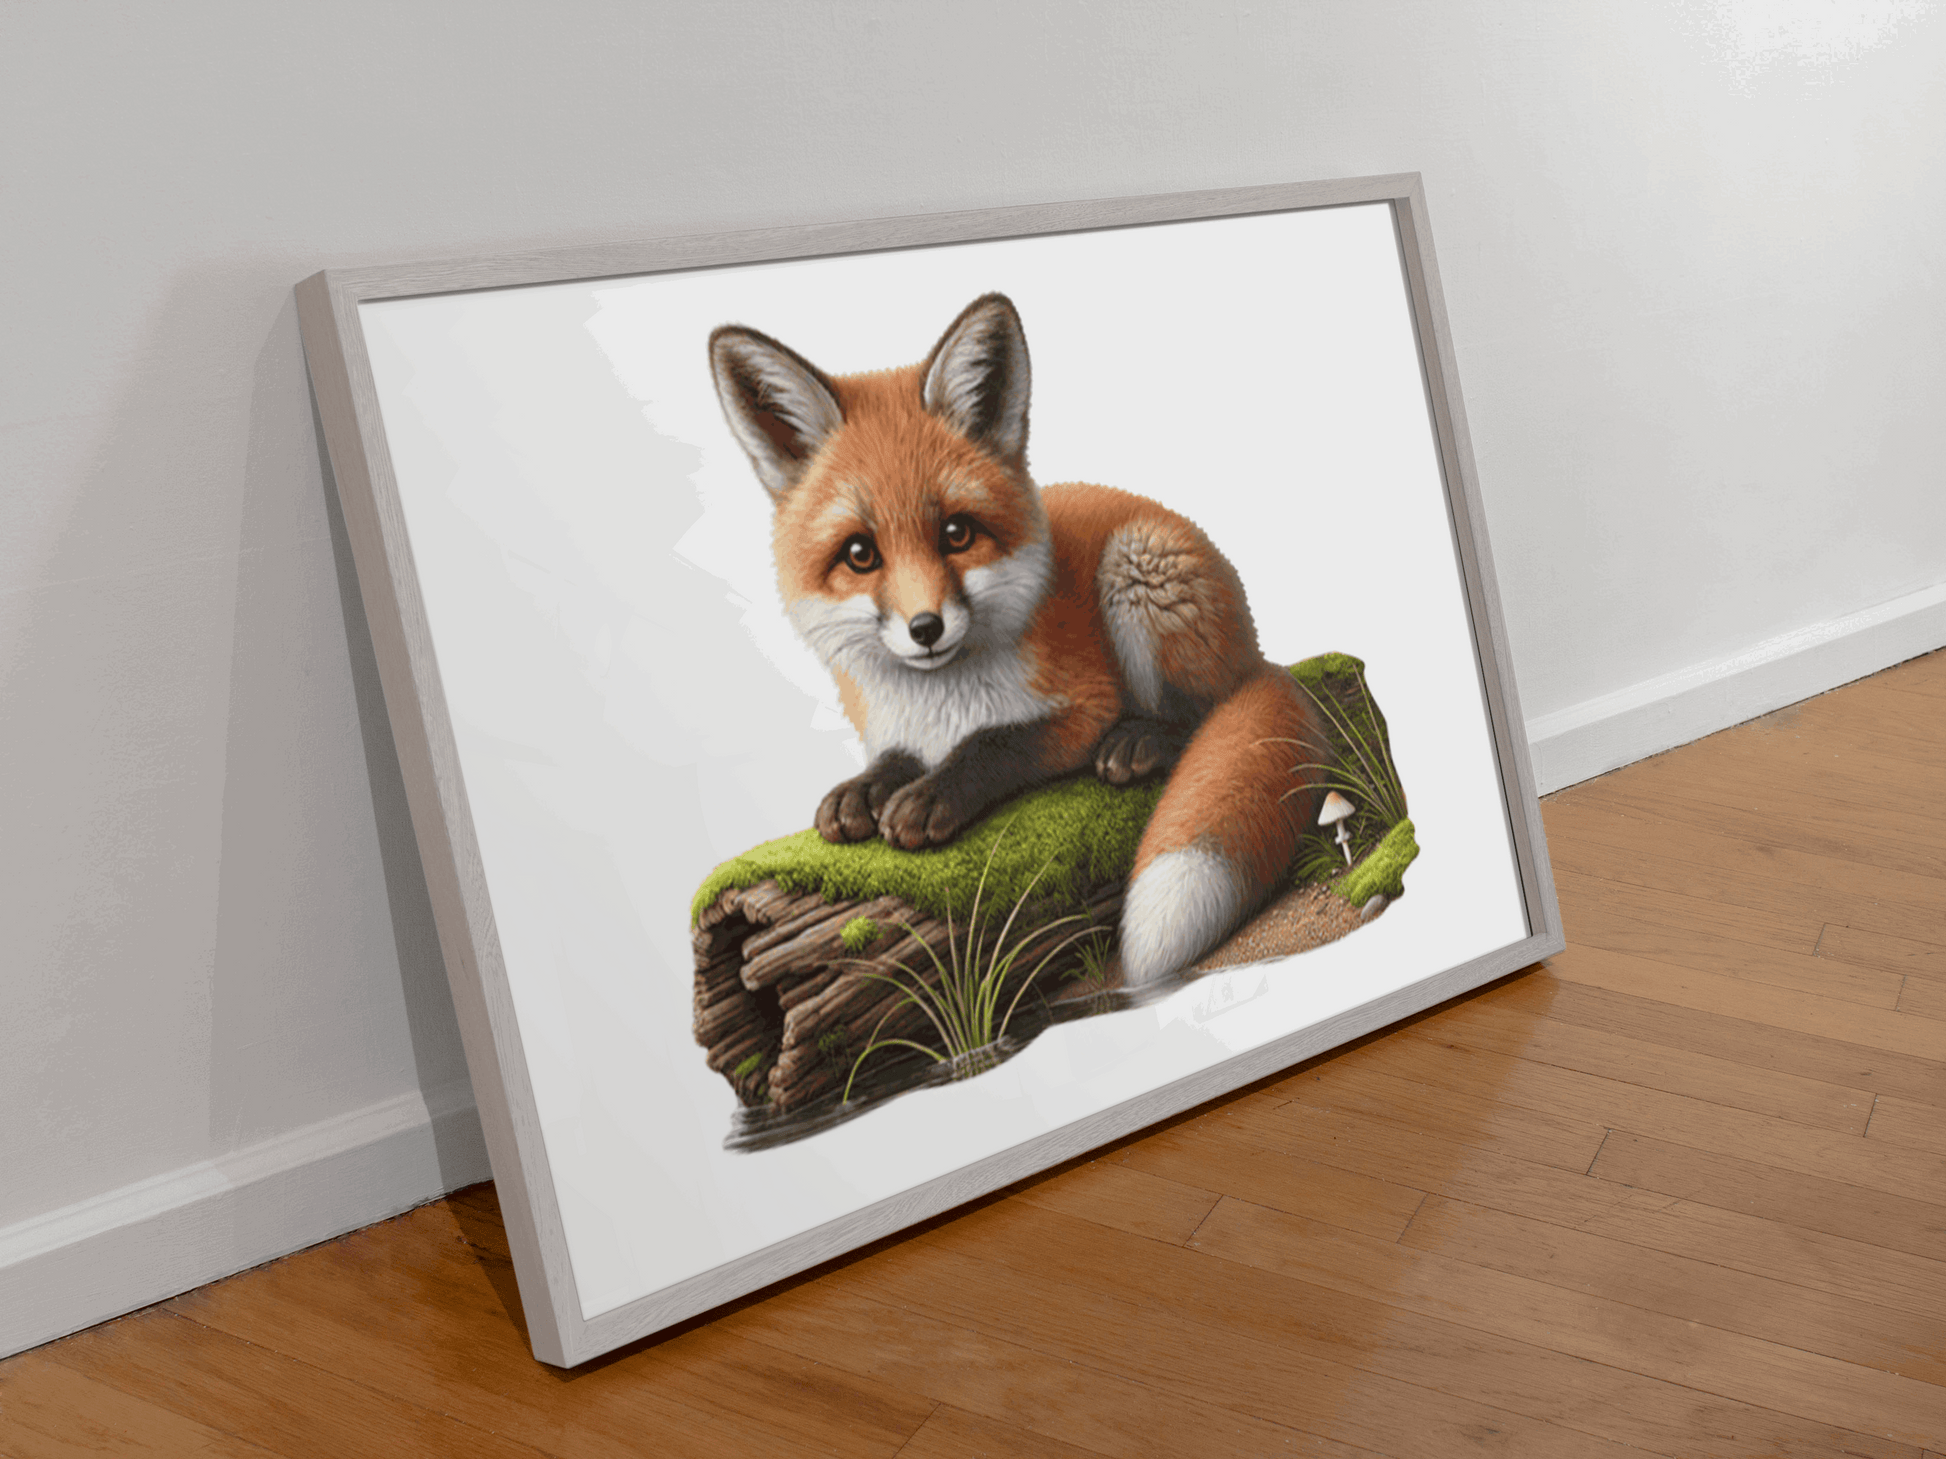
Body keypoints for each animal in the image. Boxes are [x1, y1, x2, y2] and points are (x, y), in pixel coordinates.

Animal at [708, 293, 1328, 986]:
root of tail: (1259, 651)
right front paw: (863, 791)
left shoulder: (1082, 707)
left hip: (1138, 566)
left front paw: (931, 795)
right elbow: (891, 759)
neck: (937, 701)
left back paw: (1143, 740)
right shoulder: (896, 726)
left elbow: (997, 743)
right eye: (860, 554)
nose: (926, 629)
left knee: (1203, 710)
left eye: (956, 533)